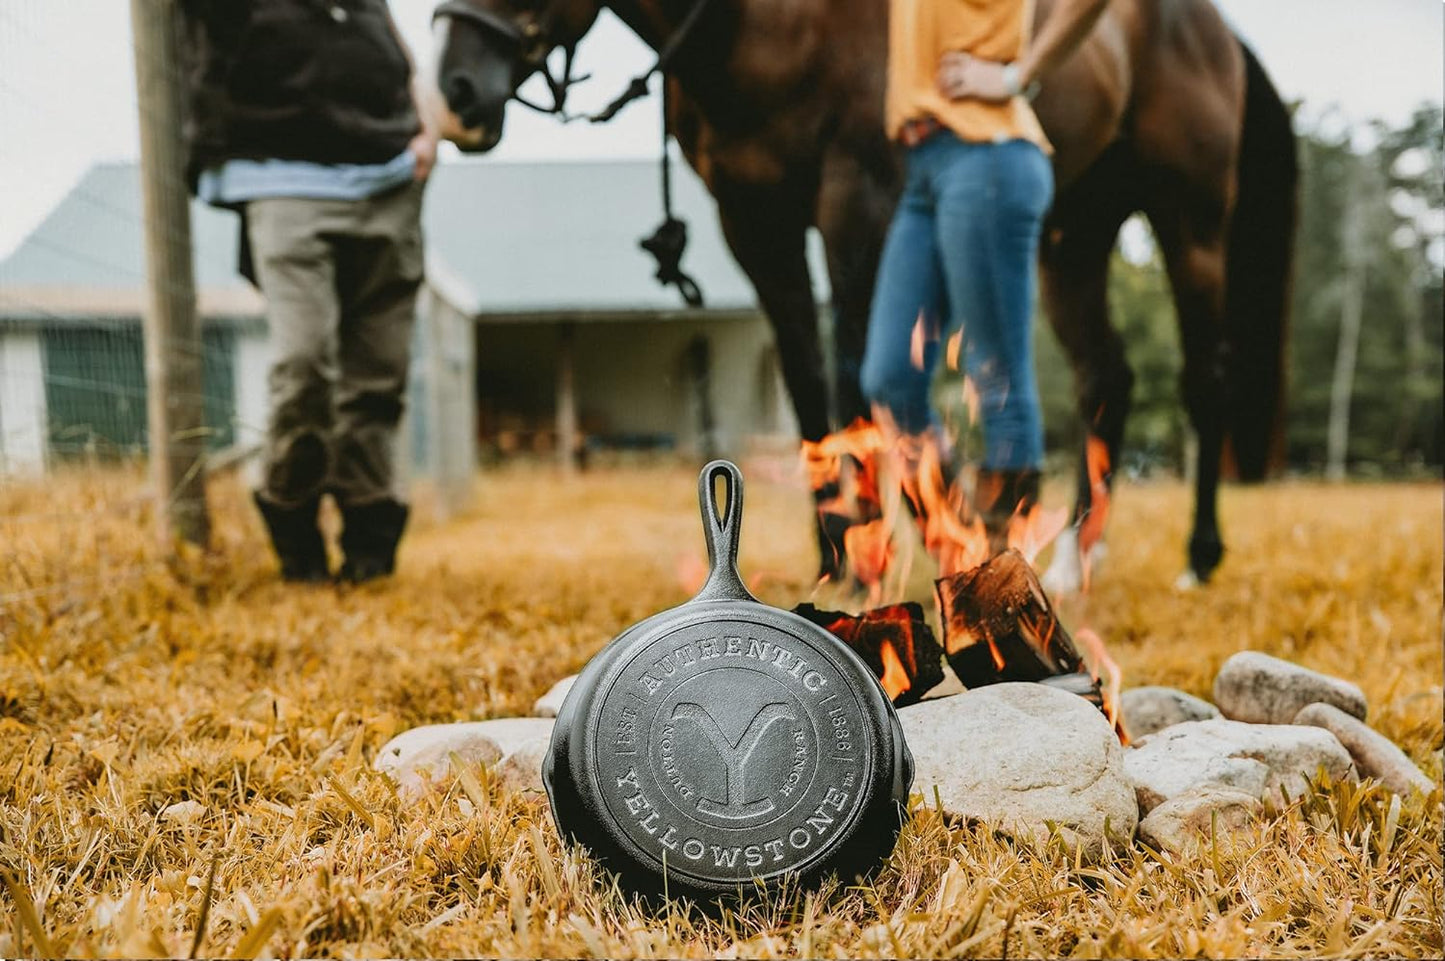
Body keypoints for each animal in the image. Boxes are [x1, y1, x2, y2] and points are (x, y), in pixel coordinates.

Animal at [421, 0, 1294, 583]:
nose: (453, 92)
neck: (766, 25)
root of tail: (1216, 30)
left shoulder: (855, 201)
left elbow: (850, 380)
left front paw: (871, 543)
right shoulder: (755, 224)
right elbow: (809, 386)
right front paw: (834, 555)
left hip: (1188, 219)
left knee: (1202, 378)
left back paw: (1198, 555)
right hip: (1071, 237)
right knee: (1104, 378)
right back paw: (1076, 556)